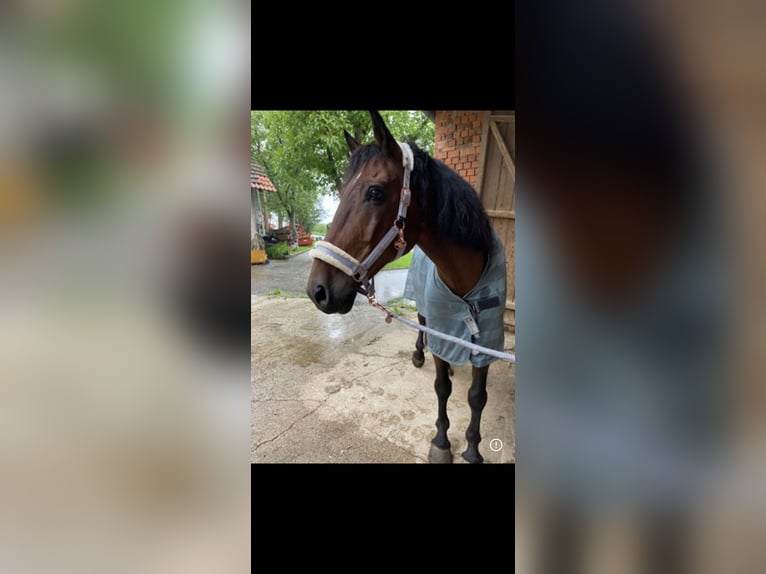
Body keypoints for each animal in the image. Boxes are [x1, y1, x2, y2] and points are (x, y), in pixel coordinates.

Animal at [306, 111, 507, 464]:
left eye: (374, 192)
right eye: (341, 191)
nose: (318, 290)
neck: (465, 283)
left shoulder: (487, 343)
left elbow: (476, 396)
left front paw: (472, 447)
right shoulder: (440, 327)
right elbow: (441, 388)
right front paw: (441, 441)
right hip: (425, 312)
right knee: (422, 328)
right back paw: (419, 354)